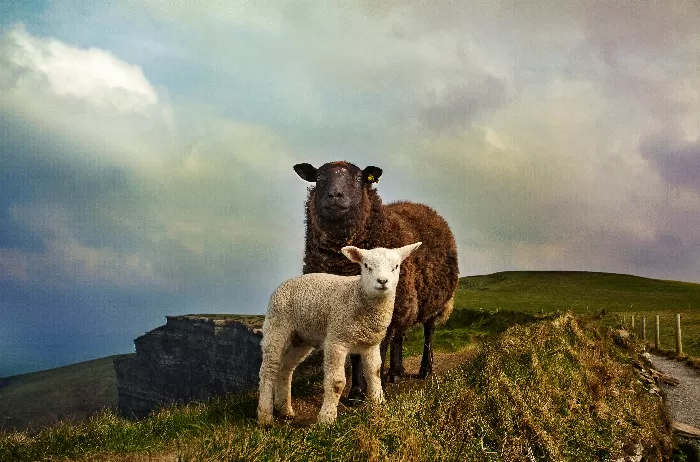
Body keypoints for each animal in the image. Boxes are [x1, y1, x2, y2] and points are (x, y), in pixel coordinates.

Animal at [257, 242, 422, 425]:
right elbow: (337, 382)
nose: (382, 281)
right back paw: (265, 416)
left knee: (285, 369)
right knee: (268, 370)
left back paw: (285, 410)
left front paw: (378, 405)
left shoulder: (370, 344)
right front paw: (327, 418)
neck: (358, 295)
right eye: (367, 266)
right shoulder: (336, 340)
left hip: (301, 338)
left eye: (396, 266)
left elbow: (375, 373)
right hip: (277, 326)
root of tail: (285, 283)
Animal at [293, 161, 459, 400]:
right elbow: (356, 355)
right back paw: (395, 373)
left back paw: (425, 370)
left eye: (359, 178)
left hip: (433, 300)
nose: (335, 195)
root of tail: (423, 206)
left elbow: (375, 354)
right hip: (405, 301)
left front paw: (372, 393)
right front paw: (355, 392)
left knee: (428, 332)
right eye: (319, 178)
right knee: (400, 335)